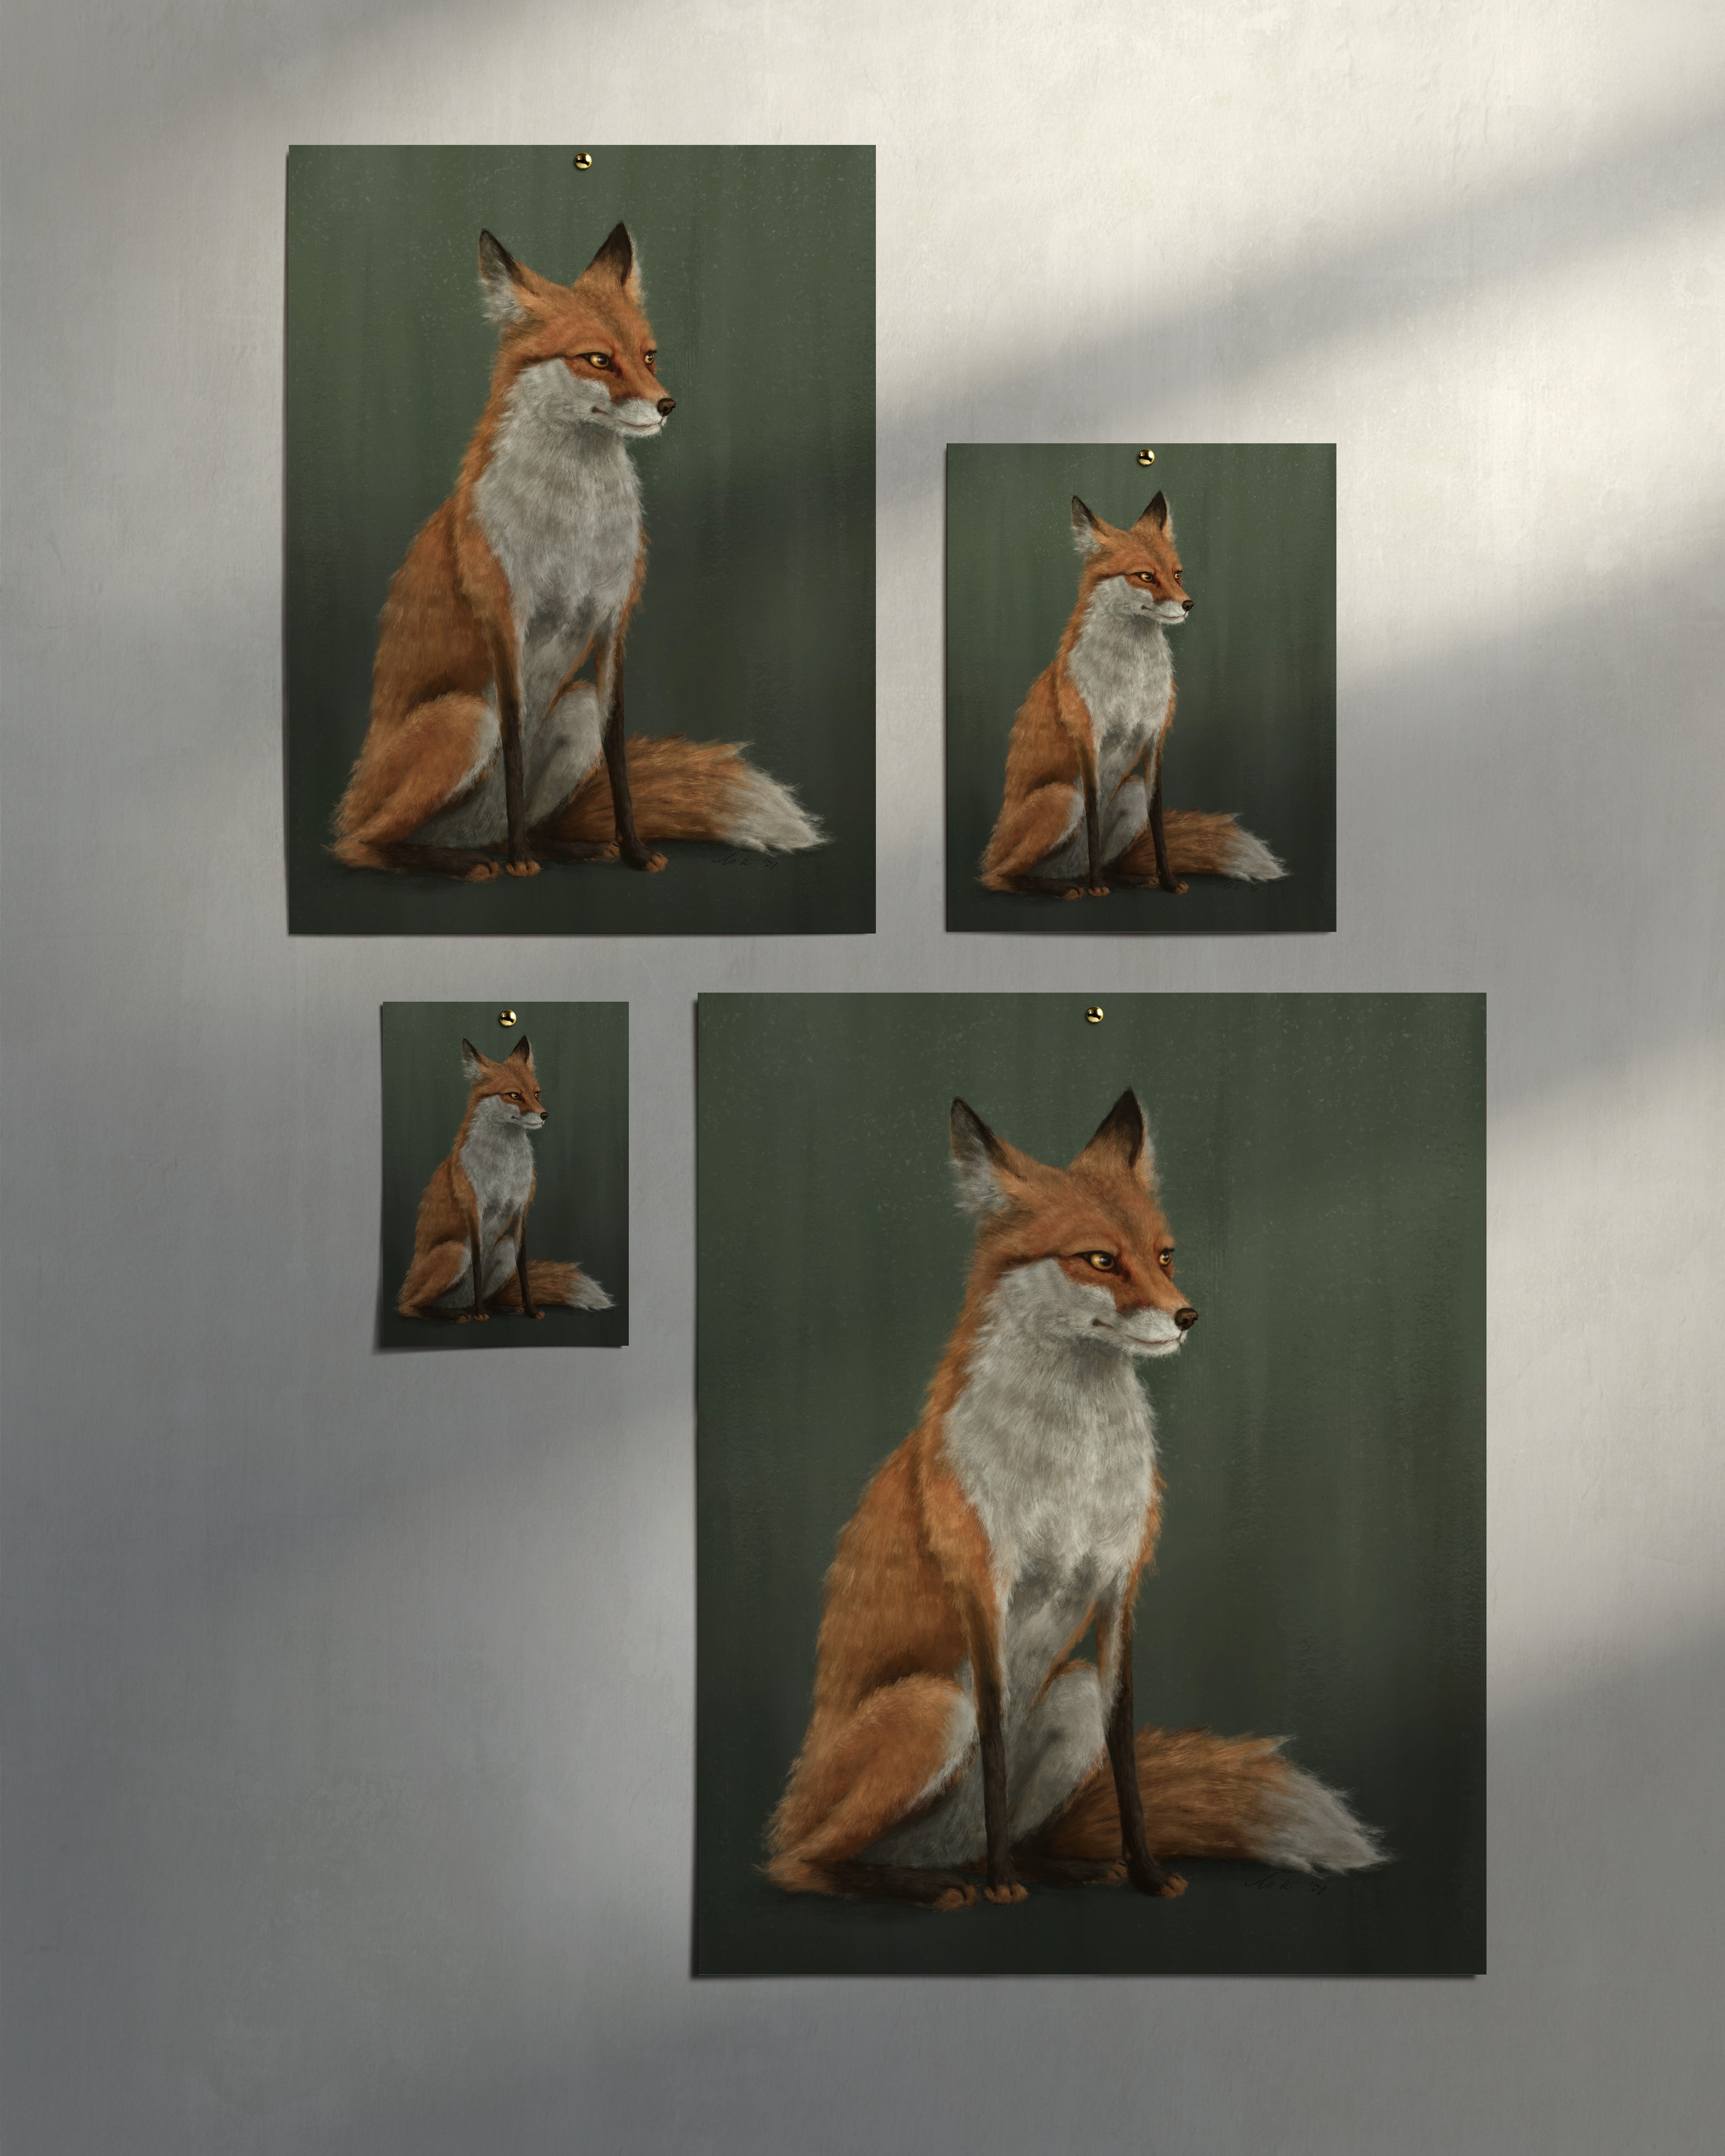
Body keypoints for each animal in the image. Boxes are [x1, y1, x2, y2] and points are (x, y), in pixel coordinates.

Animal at [334, 222, 823, 882]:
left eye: (649, 355)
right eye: (597, 359)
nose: (667, 405)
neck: (575, 526)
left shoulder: (613, 622)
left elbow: (617, 754)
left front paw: (634, 851)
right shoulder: (505, 623)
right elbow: (514, 748)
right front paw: (520, 864)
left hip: (574, 708)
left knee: (529, 818)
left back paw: (561, 847)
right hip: (464, 720)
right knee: (360, 845)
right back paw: (468, 861)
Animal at [396, 1035, 612, 1321]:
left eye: (537, 1093)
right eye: (514, 1095)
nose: (545, 1115)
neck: (505, 1169)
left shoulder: (521, 1210)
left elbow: (523, 1268)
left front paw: (530, 1309)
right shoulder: (474, 1210)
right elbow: (477, 1264)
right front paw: (480, 1315)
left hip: (504, 1248)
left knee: (483, 1296)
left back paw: (501, 1307)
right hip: (456, 1252)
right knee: (410, 1307)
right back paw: (457, 1314)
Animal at [766, 1091, 1381, 1909]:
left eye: (1164, 1255)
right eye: (1099, 1259)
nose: (1187, 1316)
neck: (1074, 1469)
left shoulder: (1119, 1587)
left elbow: (1126, 1755)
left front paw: (1146, 1872)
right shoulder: (985, 1588)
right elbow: (995, 1746)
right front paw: (1002, 1889)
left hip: (1071, 1694)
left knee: (1011, 1832)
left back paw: (1056, 1867)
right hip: (933, 1708)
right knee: (801, 1864)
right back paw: (936, 1884)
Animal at [980, 492, 1285, 899]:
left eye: (1177, 574)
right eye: (1145, 576)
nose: (1188, 604)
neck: (1132, 680)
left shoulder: (1155, 739)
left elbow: (1158, 823)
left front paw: (1168, 881)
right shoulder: (1088, 740)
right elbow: (1093, 817)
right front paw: (1097, 889)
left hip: (1131, 793)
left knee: (1099, 861)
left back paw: (1124, 878)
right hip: (1062, 799)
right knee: (997, 877)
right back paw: (1065, 887)